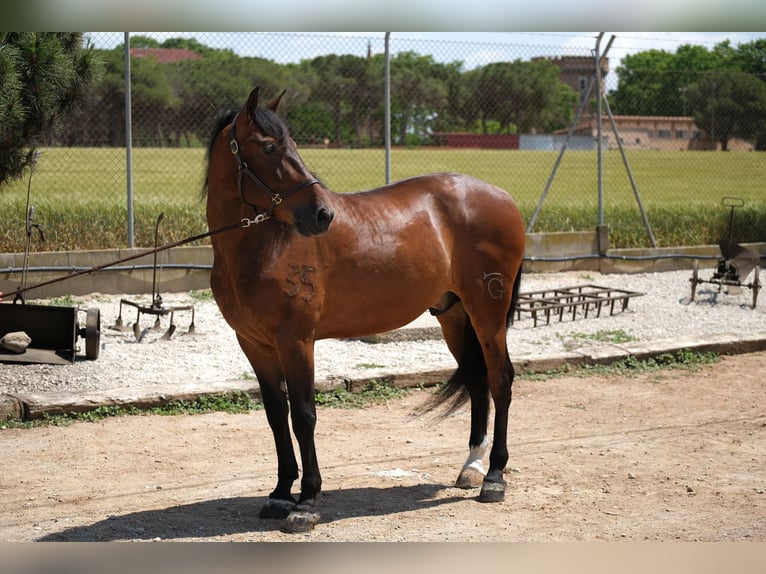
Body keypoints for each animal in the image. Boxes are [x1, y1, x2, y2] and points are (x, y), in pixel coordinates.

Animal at [204, 86, 528, 536]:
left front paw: (306, 502)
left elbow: (303, 416)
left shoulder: (296, 342)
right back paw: (472, 468)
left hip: (488, 314)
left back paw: (494, 476)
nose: (322, 214)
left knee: (501, 380)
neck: (263, 247)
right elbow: (276, 416)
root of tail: (502, 197)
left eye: (291, 144)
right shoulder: (254, 344)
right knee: (479, 382)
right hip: (454, 316)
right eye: (269, 147)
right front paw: (280, 493)